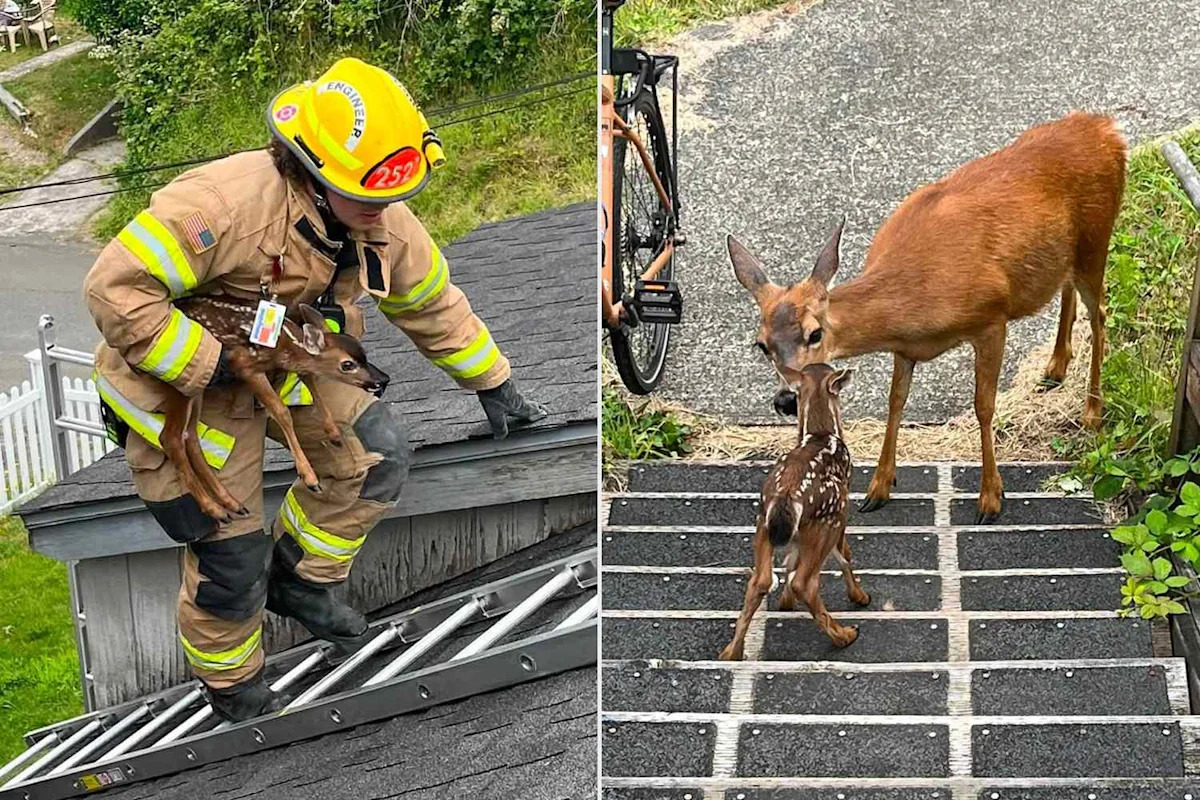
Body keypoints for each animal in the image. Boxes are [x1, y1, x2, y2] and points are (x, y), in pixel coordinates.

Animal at [161, 298, 389, 523]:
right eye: (347, 365)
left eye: (364, 354)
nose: (380, 380)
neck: (283, 344)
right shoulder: (245, 365)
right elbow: (281, 411)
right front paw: (310, 477)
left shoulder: (293, 367)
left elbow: (313, 385)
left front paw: (334, 434)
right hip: (180, 381)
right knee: (170, 438)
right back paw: (214, 509)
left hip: (197, 387)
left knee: (189, 435)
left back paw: (231, 504)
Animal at [718, 363, 868, 660]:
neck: (821, 432)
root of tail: (786, 497)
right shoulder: (844, 504)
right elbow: (845, 554)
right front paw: (859, 596)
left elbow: (790, 558)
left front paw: (785, 602)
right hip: (829, 518)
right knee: (806, 582)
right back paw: (844, 636)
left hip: (763, 523)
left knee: (760, 580)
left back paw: (731, 653)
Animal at [728, 111, 1127, 523]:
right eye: (761, 344)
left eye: (815, 333)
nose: (786, 400)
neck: (916, 302)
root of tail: (1107, 129)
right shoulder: (905, 349)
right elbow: (896, 401)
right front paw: (879, 487)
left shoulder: (991, 320)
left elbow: (984, 406)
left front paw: (990, 497)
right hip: (1066, 254)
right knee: (1068, 290)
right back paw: (1056, 366)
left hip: (1097, 237)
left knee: (1100, 313)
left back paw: (1092, 410)